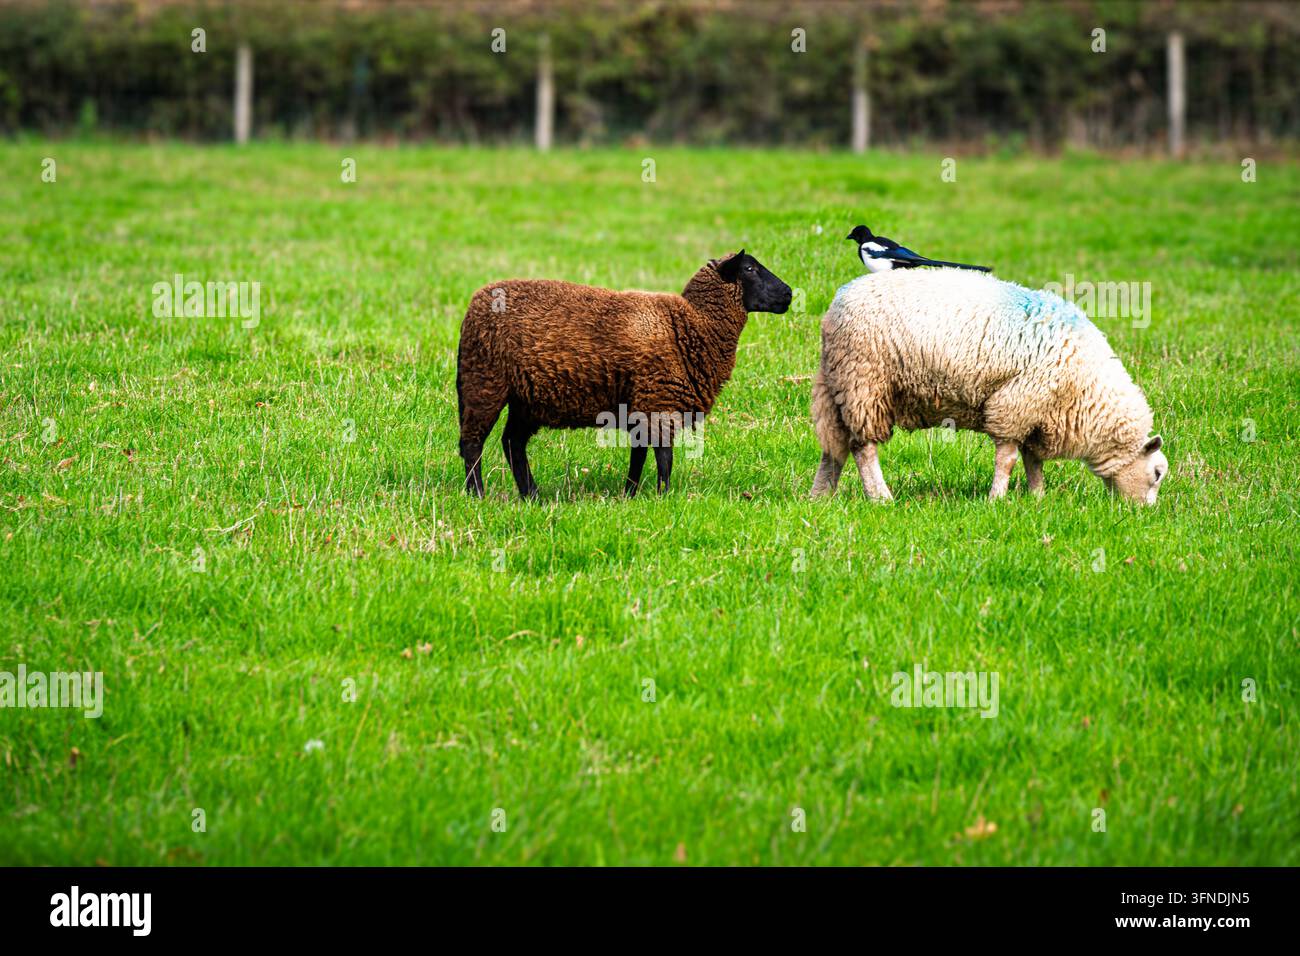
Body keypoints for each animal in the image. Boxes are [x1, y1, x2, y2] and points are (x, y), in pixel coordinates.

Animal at [457, 251, 793, 499]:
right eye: (749, 268)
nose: (789, 293)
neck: (690, 324)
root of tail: (475, 304)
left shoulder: (644, 404)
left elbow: (639, 456)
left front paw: (629, 495)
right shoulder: (659, 400)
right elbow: (664, 458)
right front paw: (663, 497)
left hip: (525, 398)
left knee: (512, 442)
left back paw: (532, 496)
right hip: (483, 382)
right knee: (472, 444)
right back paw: (478, 495)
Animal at [810, 268, 1168, 504]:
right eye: (1157, 474)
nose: (1145, 514)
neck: (1088, 394)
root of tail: (836, 306)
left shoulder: (1036, 414)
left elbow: (1032, 461)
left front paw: (1037, 498)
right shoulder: (1016, 404)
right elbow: (1008, 459)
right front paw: (997, 499)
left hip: (836, 385)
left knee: (834, 445)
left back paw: (820, 496)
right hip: (864, 383)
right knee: (863, 448)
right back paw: (881, 497)